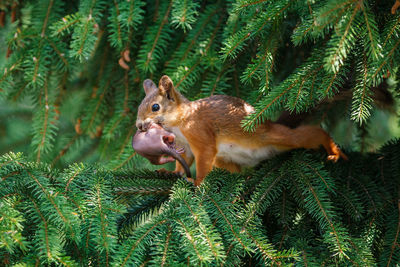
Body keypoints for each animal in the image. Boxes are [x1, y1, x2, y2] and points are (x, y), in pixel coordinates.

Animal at [135, 75, 346, 186]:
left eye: (155, 107)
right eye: (139, 105)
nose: (138, 125)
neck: (179, 122)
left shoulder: (199, 133)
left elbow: (204, 156)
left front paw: (198, 182)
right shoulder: (183, 145)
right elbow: (183, 161)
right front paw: (172, 173)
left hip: (274, 136)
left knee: (309, 135)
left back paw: (334, 151)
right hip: (225, 160)